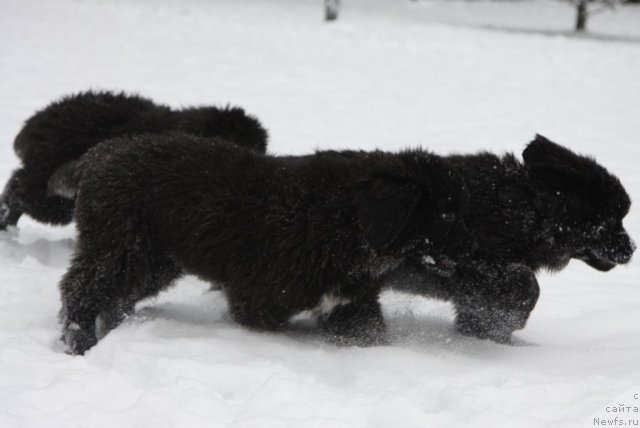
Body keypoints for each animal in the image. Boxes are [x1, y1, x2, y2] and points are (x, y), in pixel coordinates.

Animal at [57, 133, 472, 354]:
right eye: (446, 215)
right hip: (119, 246)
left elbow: (367, 335)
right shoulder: (258, 299)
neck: (344, 222)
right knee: (81, 288)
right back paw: (80, 342)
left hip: (153, 260)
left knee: (114, 296)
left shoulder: (351, 304)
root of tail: (98, 153)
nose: (470, 258)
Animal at [384, 135, 636, 342]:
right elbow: (527, 285)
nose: (633, 248)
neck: (529, 210)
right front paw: (509, 322)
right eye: (612, 219)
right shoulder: (474, 266)